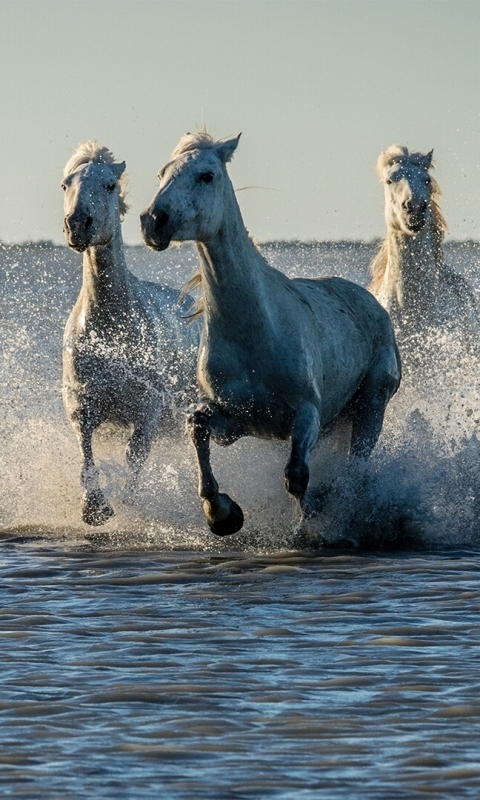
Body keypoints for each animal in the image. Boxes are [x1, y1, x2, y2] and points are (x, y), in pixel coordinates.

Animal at [62, 141, 201, 528]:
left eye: (109, 185)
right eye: (66, 184)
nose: (77, 225)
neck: (111, 331)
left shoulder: (146, 411)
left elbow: (134, 457)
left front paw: (128, 504)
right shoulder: (82, 405)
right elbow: (86, 453)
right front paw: (95, 508)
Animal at [140, 133, 402, 536]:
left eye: (207, 175)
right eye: (162, 174)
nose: (154, 221)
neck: (255, 335)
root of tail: (373, 303)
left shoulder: (307, 415)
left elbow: (296, 476)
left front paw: (310, 523)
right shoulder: (234, 421)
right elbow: (197, 427)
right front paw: (223, 514)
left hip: (372, 404)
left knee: (355, 468)